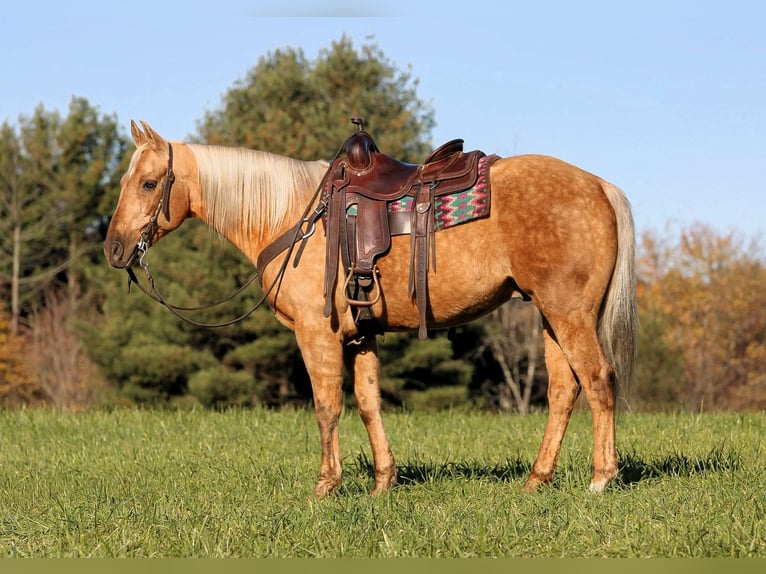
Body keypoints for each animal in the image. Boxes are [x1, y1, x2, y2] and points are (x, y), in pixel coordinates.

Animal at [104, 120, 637, 496]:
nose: (113, 248)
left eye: (149, 183)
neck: (295, 216)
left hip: (570, 316)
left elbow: (327, 406)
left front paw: (325, 486)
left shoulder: (316, 333)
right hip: (549, 317)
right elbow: (368, 402)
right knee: (564, 391)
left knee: (598, 381)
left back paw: (601, 478)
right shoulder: (361, 335)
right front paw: (383, 482)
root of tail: (598, 185)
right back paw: (536, 479)